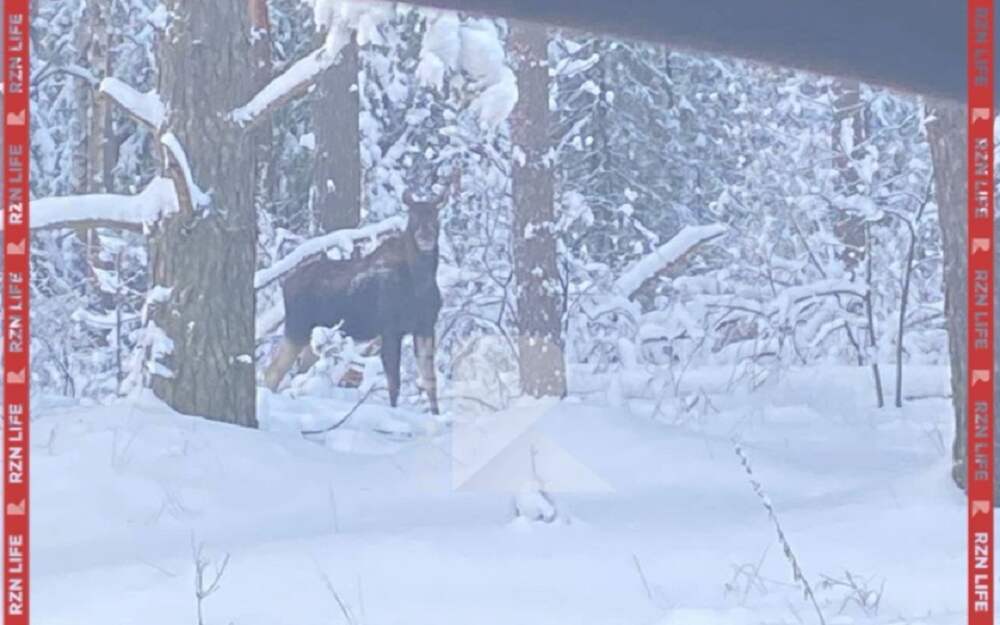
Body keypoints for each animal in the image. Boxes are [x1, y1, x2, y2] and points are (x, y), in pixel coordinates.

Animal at [263, 179, 453, 414]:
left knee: (300, 371)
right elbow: (394, 382)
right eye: (413, 217)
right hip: (296, 327)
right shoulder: (390, 329)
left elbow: (430, 380)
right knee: (273, 372)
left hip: (313, 335)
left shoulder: (425, 327)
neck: (420, 282)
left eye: (435, 215)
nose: (425, 236)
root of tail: (285, 284)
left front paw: (436, 414)